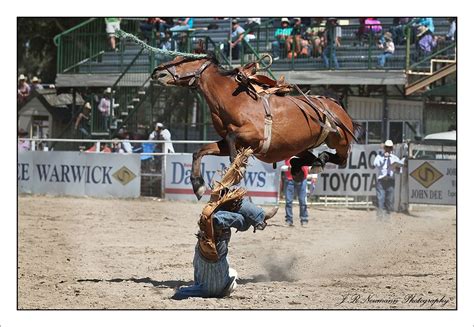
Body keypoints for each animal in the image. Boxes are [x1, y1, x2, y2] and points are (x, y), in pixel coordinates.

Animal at [153, 53, 362, 200]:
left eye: (183, 60)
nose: (157, 71)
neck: (234, 99)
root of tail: (336, 105)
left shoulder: (255, 136)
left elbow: (232, 143)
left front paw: (236, 169)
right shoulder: (228, 142)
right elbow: (199, 151)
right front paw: (198, 185)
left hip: (340, 140)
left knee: (341, 159)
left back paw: (319, 161)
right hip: (300, 145)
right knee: (309, 158)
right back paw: (302, 165)